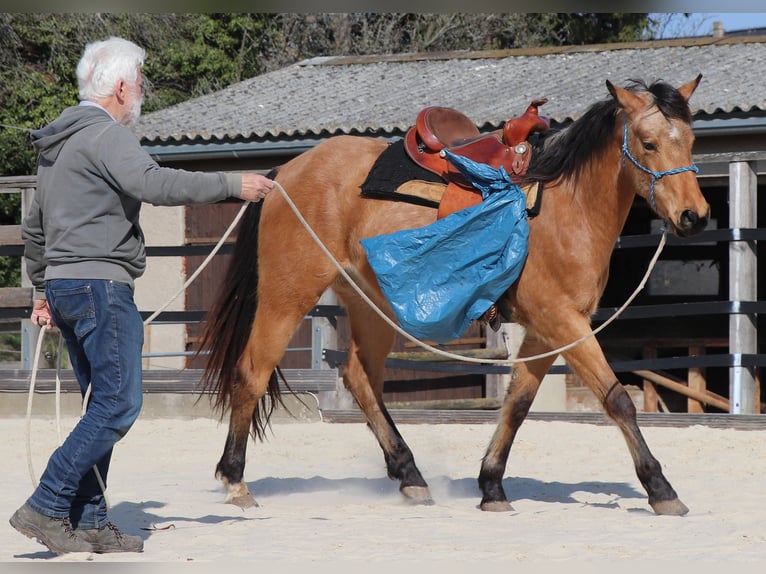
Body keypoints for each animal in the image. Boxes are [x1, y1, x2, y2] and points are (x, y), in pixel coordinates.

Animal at [198, 75, 709, 516]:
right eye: (648, 143)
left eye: (689, 140)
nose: (695, 216)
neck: (567, 205)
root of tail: (283, 173)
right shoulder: (563, 321)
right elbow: (616, 398)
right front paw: (661, 489)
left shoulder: (549, 331)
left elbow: (518, 405)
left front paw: (492, 486)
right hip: (288, 294)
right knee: (252, 372)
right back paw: (235, 481)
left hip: (372, 304)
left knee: (360, 378)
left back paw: (410, 476)